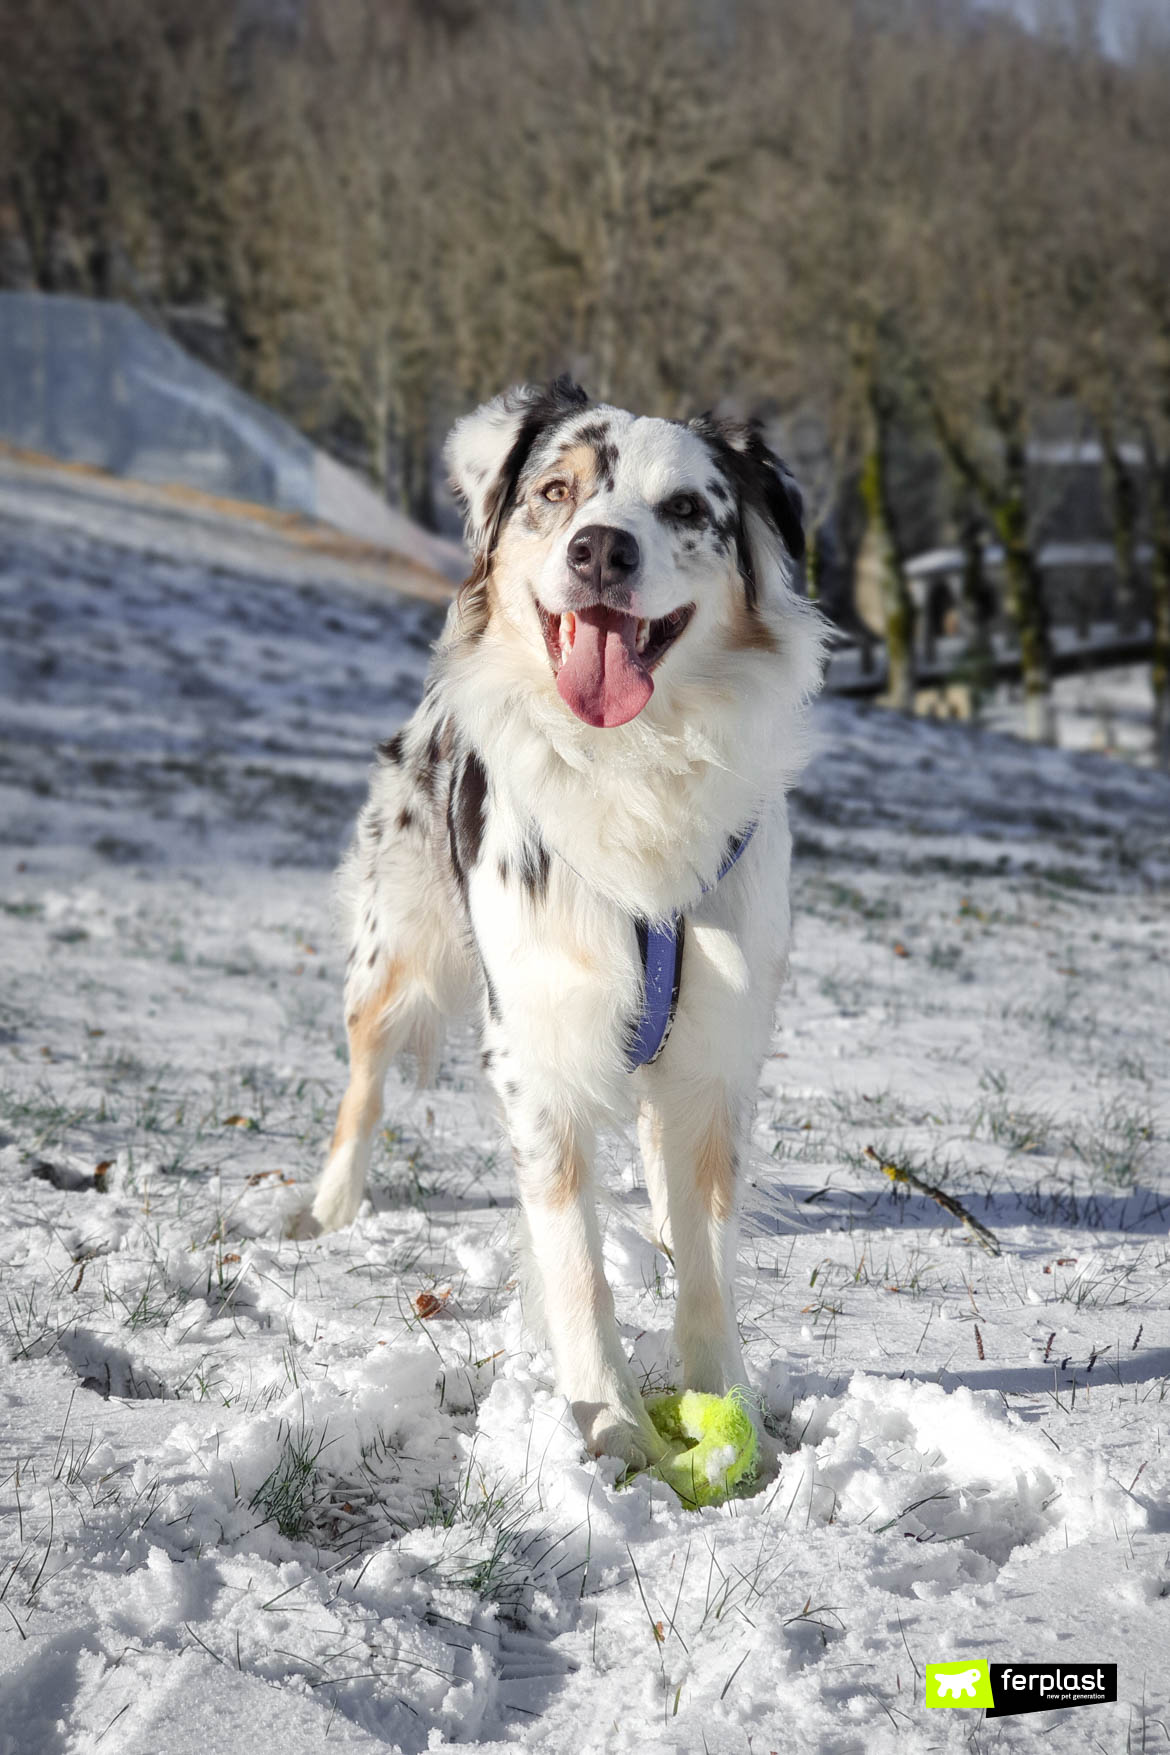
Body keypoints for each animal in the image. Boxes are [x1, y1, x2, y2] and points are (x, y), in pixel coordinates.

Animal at [292, 380, 824, 1467]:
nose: (601, 551)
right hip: (398, 948)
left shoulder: (717, 1052)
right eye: (554, 491)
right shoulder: (540, 1048)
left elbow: (709, 1253)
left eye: (686, 508)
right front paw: (609, 1424)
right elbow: (574, 1259)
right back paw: (332, 1207)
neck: (633, 770)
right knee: (365, 1080)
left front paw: (729, 1412)